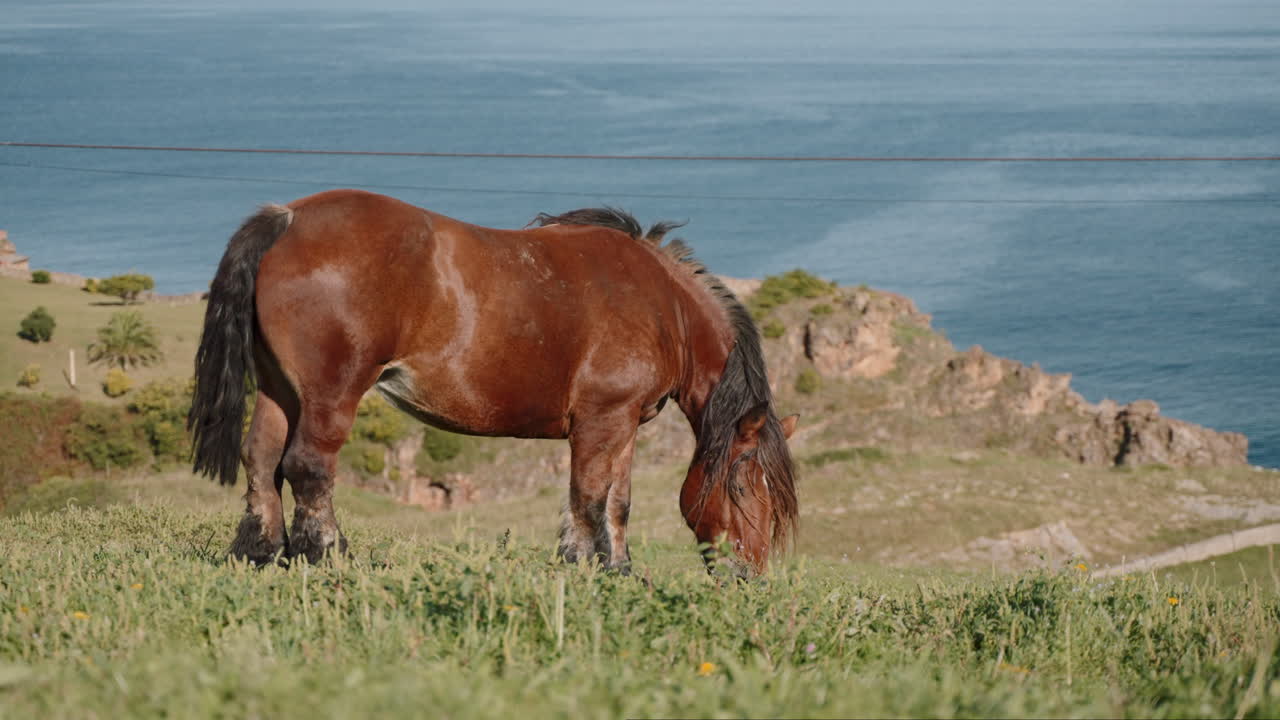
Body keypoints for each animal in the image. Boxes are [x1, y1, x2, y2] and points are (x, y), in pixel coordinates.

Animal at [187, 189, 798, 575]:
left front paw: (618, 571)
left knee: (261, 459)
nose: (749, 575)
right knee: (309, 468)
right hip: (330, 394)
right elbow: (587, 496)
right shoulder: (601, 421)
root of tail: (287, 219)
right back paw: (328, 555)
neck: (662, 305)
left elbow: (616, 502)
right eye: (743, 487)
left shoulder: (624, 425)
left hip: (279, 391)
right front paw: (581, 566)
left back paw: (261, 553)